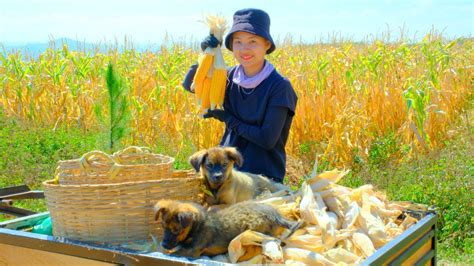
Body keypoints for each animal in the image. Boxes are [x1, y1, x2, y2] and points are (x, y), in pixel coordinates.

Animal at [153, 200, 300, 258]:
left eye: (176, 230)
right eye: (163, 227)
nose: (163, 244)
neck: (197, 226)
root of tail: (275, 215)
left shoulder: (191, 251)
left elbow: (172, 253)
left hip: (254, 230)